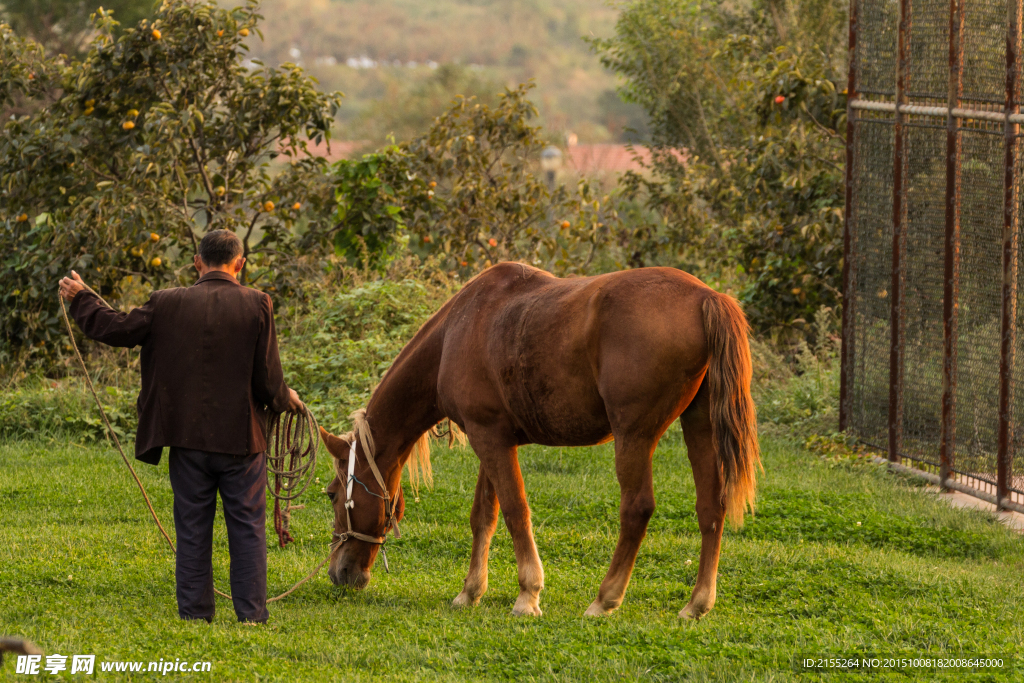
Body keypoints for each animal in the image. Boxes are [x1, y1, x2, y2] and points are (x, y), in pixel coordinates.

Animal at [319, 262, 761, 618]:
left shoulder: (491, 440)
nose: (339, 572)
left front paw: (527, 595)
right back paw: (697, 604)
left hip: (634, 436)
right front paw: (470, 592)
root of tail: (705, 297)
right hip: (699, 427)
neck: (456, 332)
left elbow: (516, 511)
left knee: (637, 509)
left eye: (331, 493)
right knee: (711, 507)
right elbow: (484, 515)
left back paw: (604, 600)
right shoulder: (491, 439)